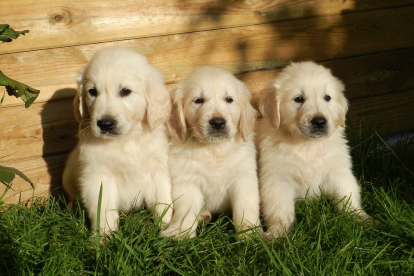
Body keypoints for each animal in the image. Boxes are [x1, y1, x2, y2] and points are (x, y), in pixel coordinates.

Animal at [61, 48, 173, 235]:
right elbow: (103, 210)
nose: (105, 124)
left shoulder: (157, 170)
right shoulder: (98, 177)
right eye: (92, 91)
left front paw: (171, 229)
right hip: (69, 174)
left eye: (126, 91)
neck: (125, 141)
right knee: (72, 196)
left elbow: (163, 202)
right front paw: (103, 237)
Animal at [163, 66, 260, 238]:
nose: (218, 122)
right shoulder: (187, 180)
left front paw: (250, 232)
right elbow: (186, 210)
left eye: (229, 99)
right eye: (198, 100)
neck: (213, 149)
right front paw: (182, 233)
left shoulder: (243, 176)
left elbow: (245, 205)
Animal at [256, 61, 368, 238]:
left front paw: (361, 218)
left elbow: (348, 196)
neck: (307, 145)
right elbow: (280, 211)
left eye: (327, 97)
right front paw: (278, 234)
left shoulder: (338, 172)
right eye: (298, 99)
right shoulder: (277, 180)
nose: (319, 122)